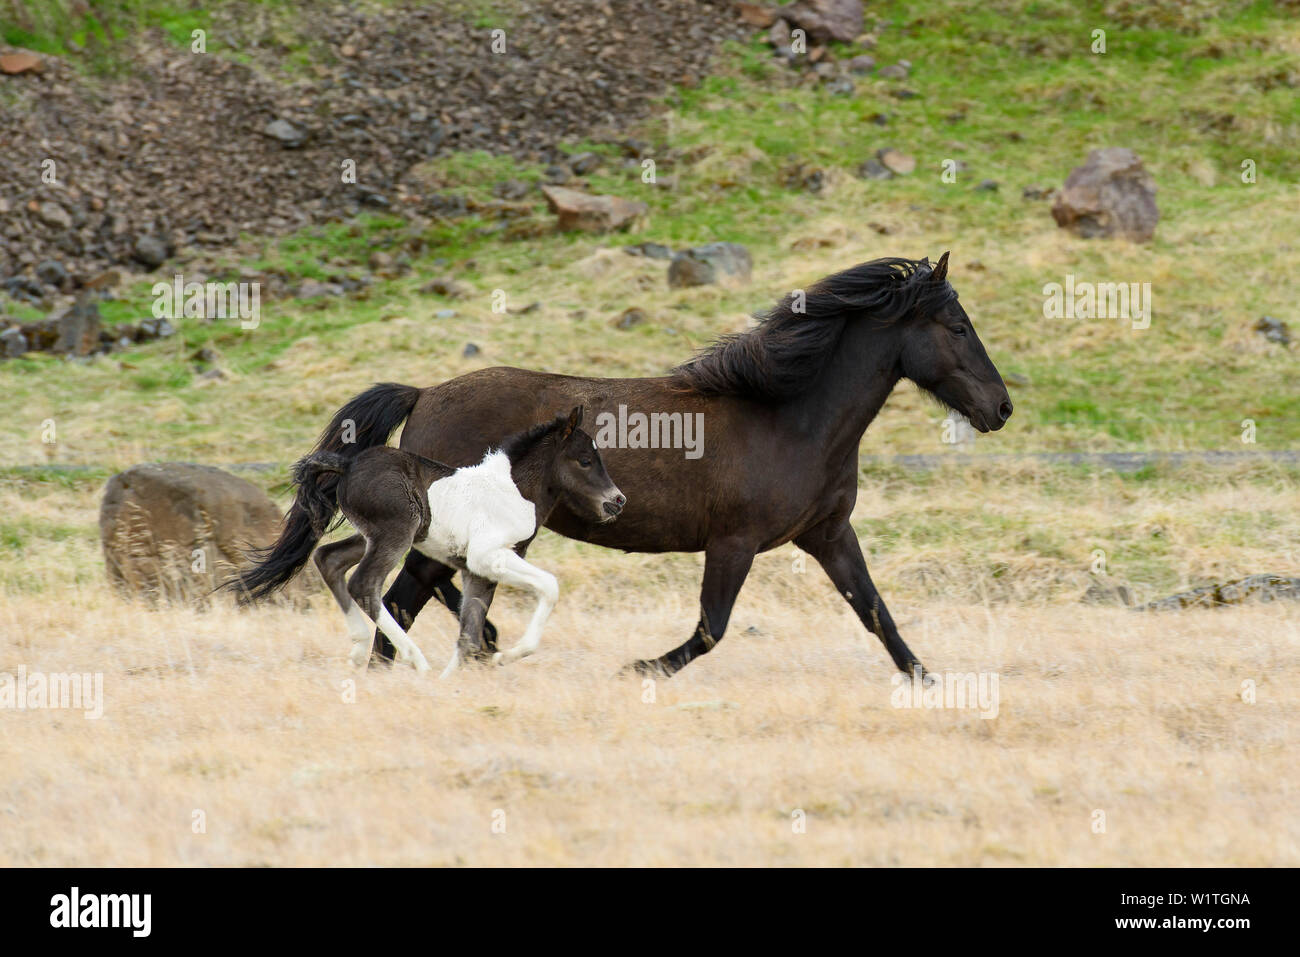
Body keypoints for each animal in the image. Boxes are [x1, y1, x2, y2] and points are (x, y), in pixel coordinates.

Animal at [226, 407, 625, 675]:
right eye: (585, 460)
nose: (617, 501)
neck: (511, 489)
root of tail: (348, 466)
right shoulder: (487, 556)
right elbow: (549, 587)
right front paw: (507, 655)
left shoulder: (478, 569)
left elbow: (470, 629)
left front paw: (455, 681)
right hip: (397, 533)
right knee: (364, 583)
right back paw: (415, 659)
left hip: (371, 535)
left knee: (329, 558)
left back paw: (358, 648)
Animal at [274, 253, 1012, 681]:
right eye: (958, 327)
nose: (1000, 408)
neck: (790, 419)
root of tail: (425, 393)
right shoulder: (735, 542)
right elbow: (711, 628)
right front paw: (643, 668)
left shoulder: (827, 534)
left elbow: (876, 612)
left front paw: (926, 680)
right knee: (398, 595)